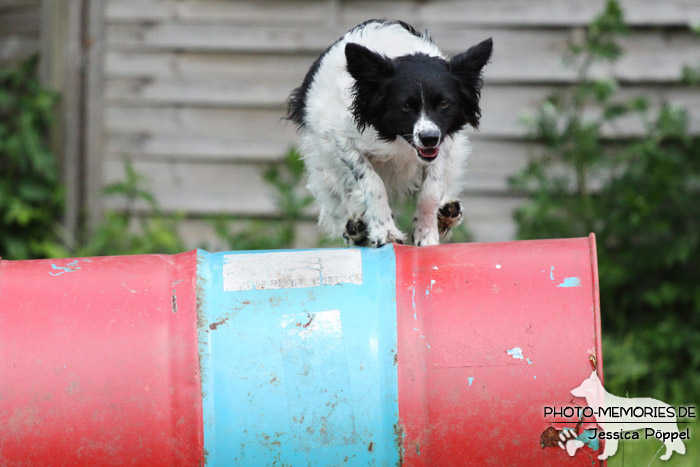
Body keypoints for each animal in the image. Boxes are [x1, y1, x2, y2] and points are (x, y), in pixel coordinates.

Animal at [284, 20, 492, 247]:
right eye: (405, 106)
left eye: (444, 104)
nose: (429, 139)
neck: (397, 139)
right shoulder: (342, 140)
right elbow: (372, 183)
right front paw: (385, 231)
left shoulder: (442, 142)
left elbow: (431, 189)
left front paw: (427, 233)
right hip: (325, 168)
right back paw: (355, 229)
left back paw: (447, 213)